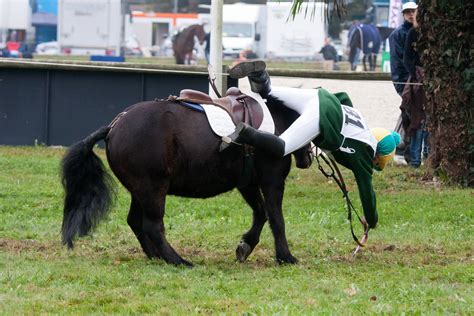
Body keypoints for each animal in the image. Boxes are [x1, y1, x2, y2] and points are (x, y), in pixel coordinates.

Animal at [61, 90, 312, 266]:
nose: (307, 159)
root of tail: (114, 126)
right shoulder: (272, 180)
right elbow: (276, 219)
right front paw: (285, 257)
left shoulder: (247, 183)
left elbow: (261, 214)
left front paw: (246, 245)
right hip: (152, 189)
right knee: (152, 226)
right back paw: (177, 260)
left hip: (140, 191)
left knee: (135, 222)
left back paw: (156, 256)